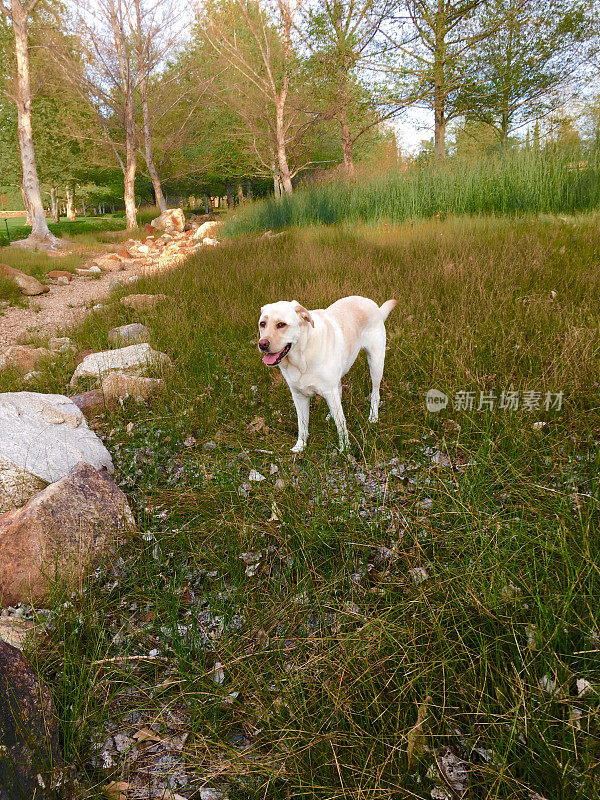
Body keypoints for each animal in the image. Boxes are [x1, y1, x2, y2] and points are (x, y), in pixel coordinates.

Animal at [256, 296, 394, 454]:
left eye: (281, 324)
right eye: (262, 324)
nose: (262, 344)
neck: (302, 356)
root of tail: (372, 303)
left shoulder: (329, 391)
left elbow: (341, 424)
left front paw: (345, 448)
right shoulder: (298, 396)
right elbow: (302, 424)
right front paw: (301, 445)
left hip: (376, 363)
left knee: (375, 393)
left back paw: (373, 416)